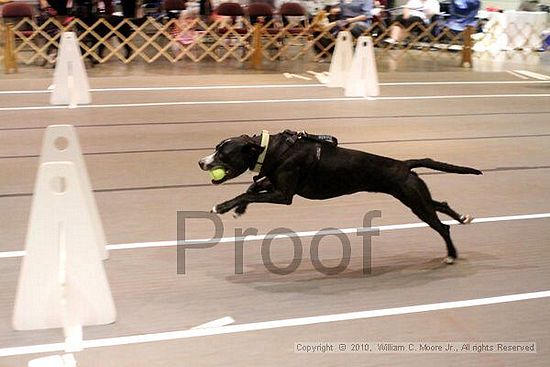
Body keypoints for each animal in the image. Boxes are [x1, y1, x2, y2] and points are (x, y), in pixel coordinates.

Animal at [199, 131, 484, 264]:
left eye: (223, 154)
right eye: (216, 148)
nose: (201, 162)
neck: (270, 149)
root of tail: (404, 164)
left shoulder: (283, 194)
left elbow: (244, 193)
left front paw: (223, 207)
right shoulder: (274, 183)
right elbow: (250, 190)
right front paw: (239, 210)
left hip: (415, 202)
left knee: (442, 227)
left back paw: (451, 255)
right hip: (416, 196)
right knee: (442, 205)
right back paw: (463, 217)